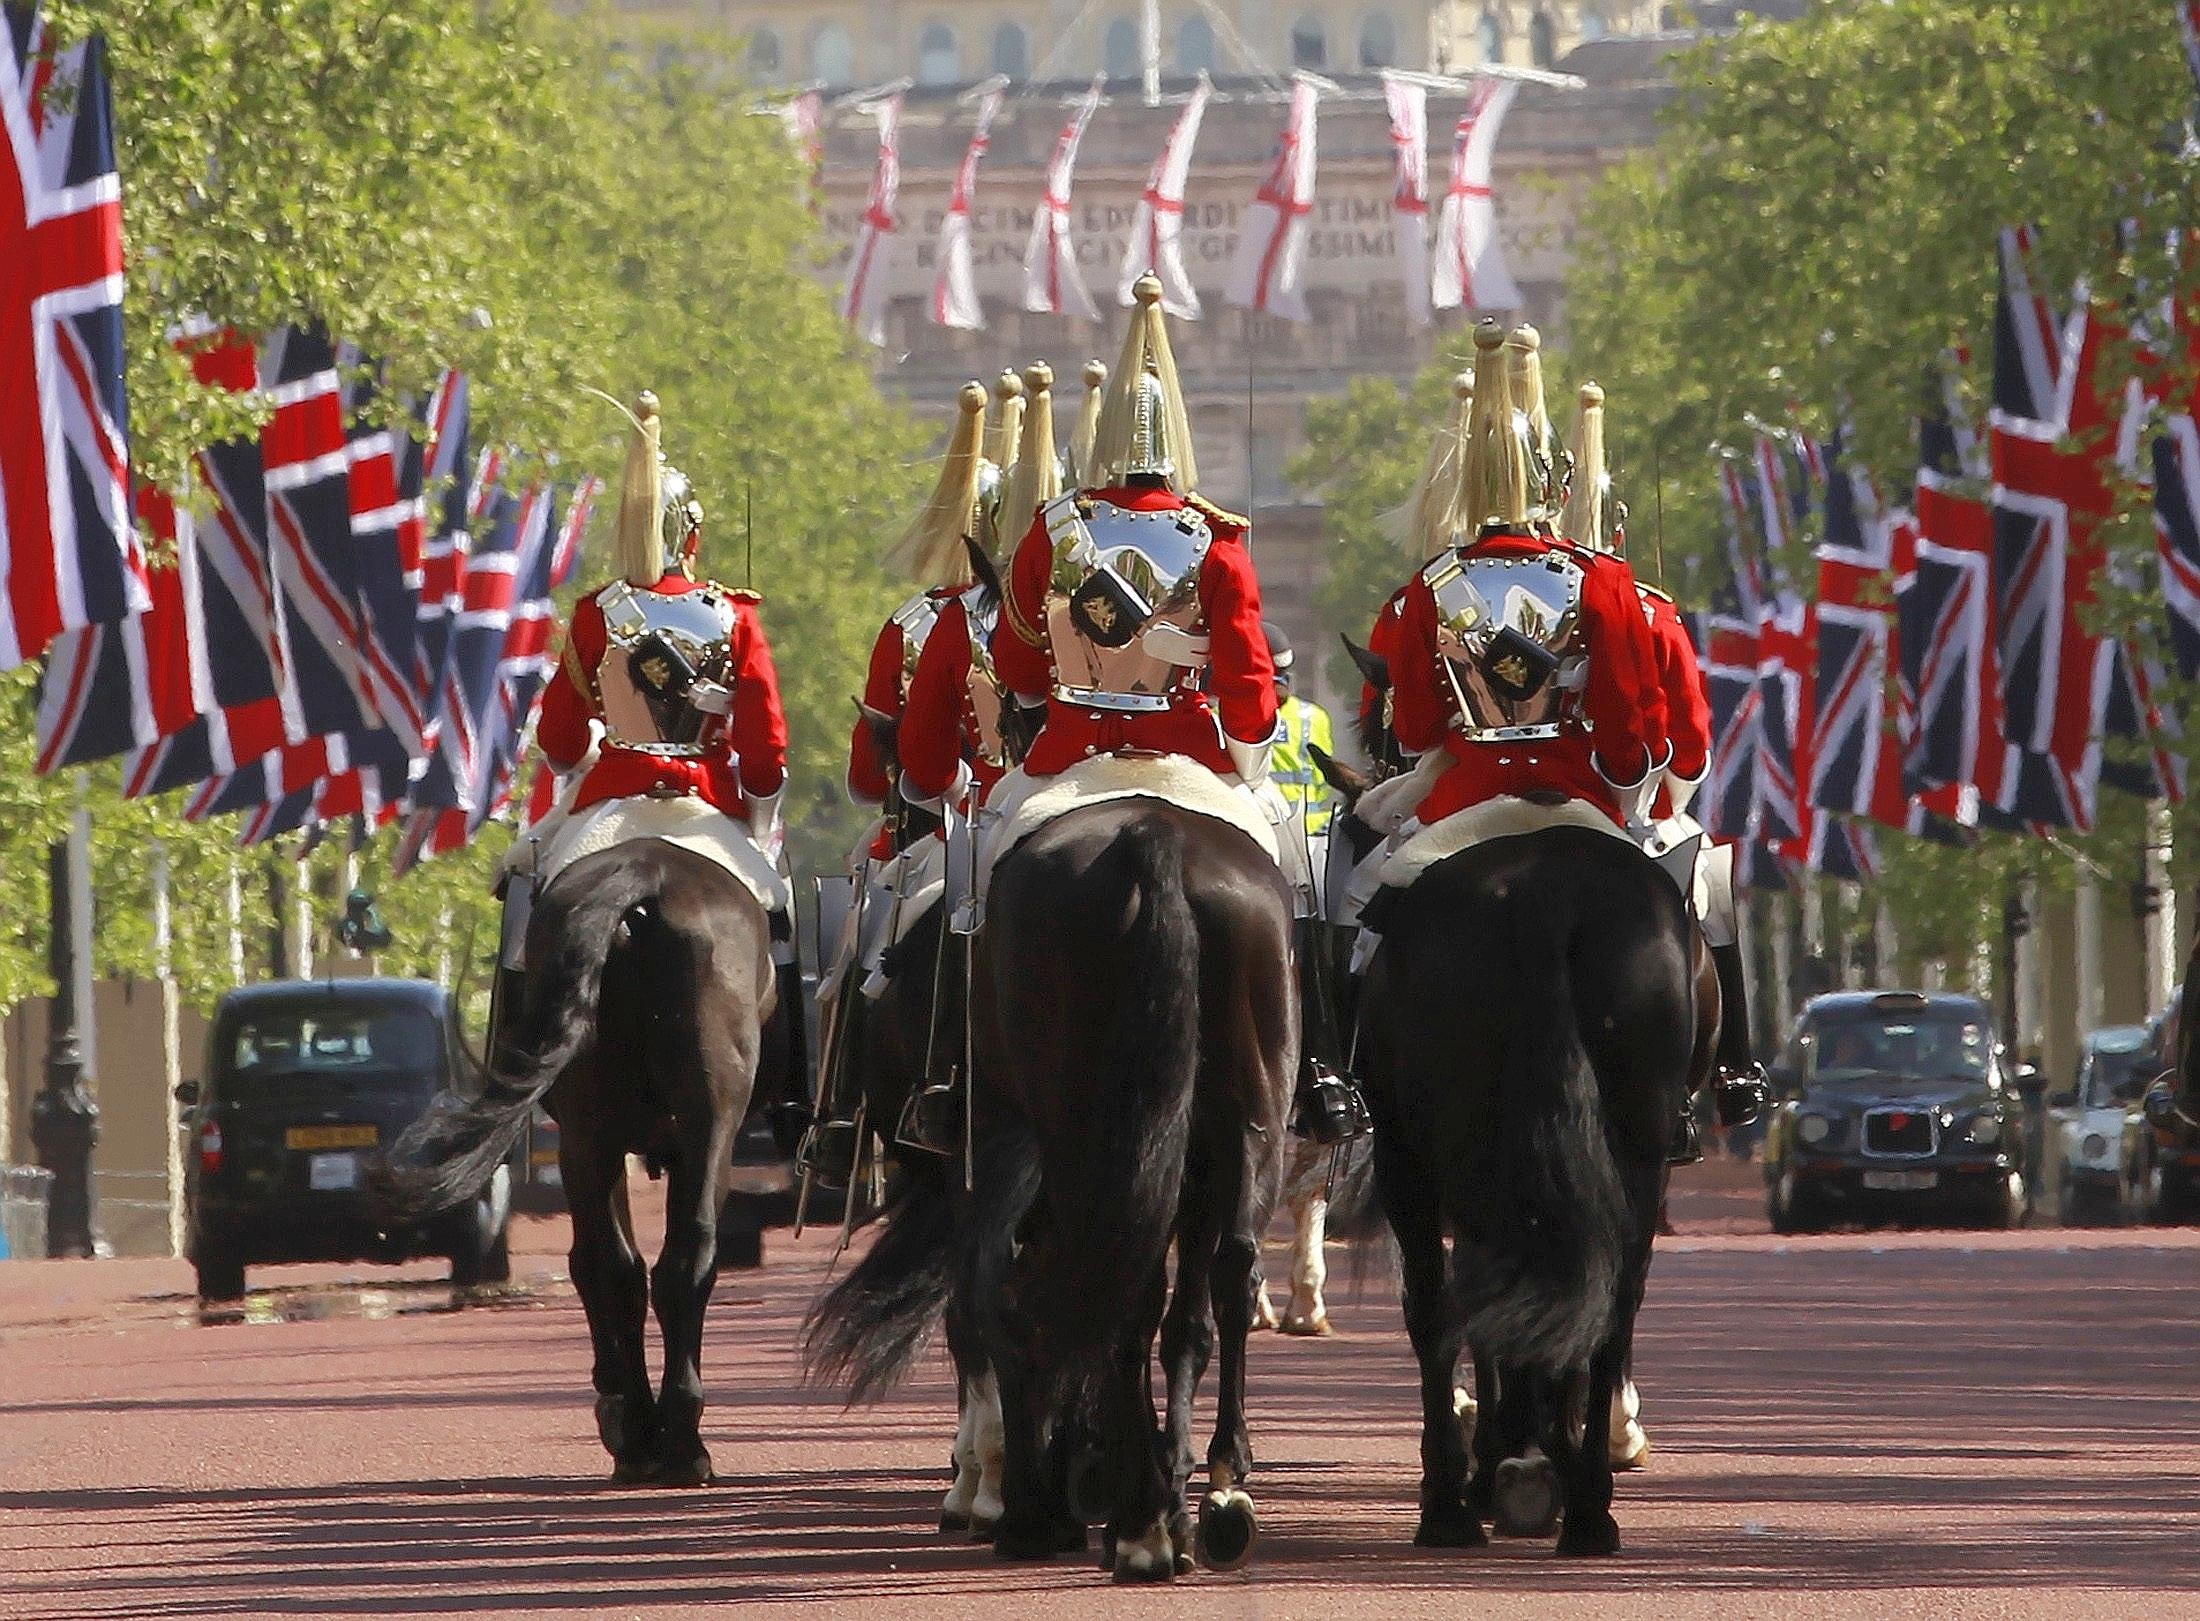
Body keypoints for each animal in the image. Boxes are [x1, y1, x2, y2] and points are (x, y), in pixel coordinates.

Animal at [378, 840, 783, 1486]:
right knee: (669, 1258)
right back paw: (668, 1436)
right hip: (693, 1127)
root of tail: (646, 873)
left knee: (622, 1263)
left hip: (600, 1134)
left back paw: (651, 1431)